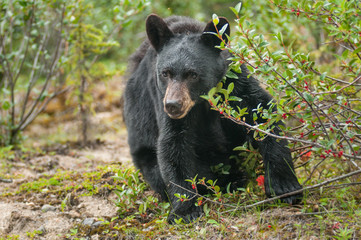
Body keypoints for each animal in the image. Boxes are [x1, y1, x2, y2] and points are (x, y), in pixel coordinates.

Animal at [123, 13, 300, 223]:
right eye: (165, 73)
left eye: (192, 74)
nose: (173, 105)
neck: (202, 101)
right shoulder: (161, 97)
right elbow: (173, 144)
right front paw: (185, 210)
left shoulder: (234, 80)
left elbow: (262, 112)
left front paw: (286, 187)